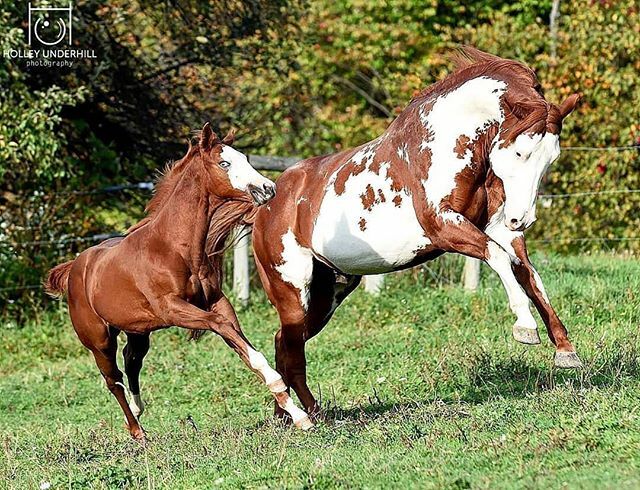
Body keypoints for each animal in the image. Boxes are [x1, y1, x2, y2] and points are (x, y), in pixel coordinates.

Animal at [44, 123, 312, 440]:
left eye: (244, 158)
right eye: (224, 163)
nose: (268, 188)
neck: (172, 247)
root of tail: (75, 266)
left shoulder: (217, 302)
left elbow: (245, 349)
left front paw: (299, 416)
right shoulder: (173, 309)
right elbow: (223, 329)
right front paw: (291, 403)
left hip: (138, 330)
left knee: (131, 360)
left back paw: (137, 409)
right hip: (99, 341)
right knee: (113, 380)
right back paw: (138, 432)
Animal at [251, 47, 582, 420]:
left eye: (551, 158)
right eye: (520, 152)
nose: (523, 218)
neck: (446, 143)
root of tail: (267, 202)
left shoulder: (500, 228)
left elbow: (528, 274)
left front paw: (565, 349)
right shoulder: (443, 227)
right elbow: (499, 258)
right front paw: (525, 326)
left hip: (328, 293)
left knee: (284, 345)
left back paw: (292, 414)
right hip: (292, 291)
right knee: (290, 350)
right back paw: (307, 416)